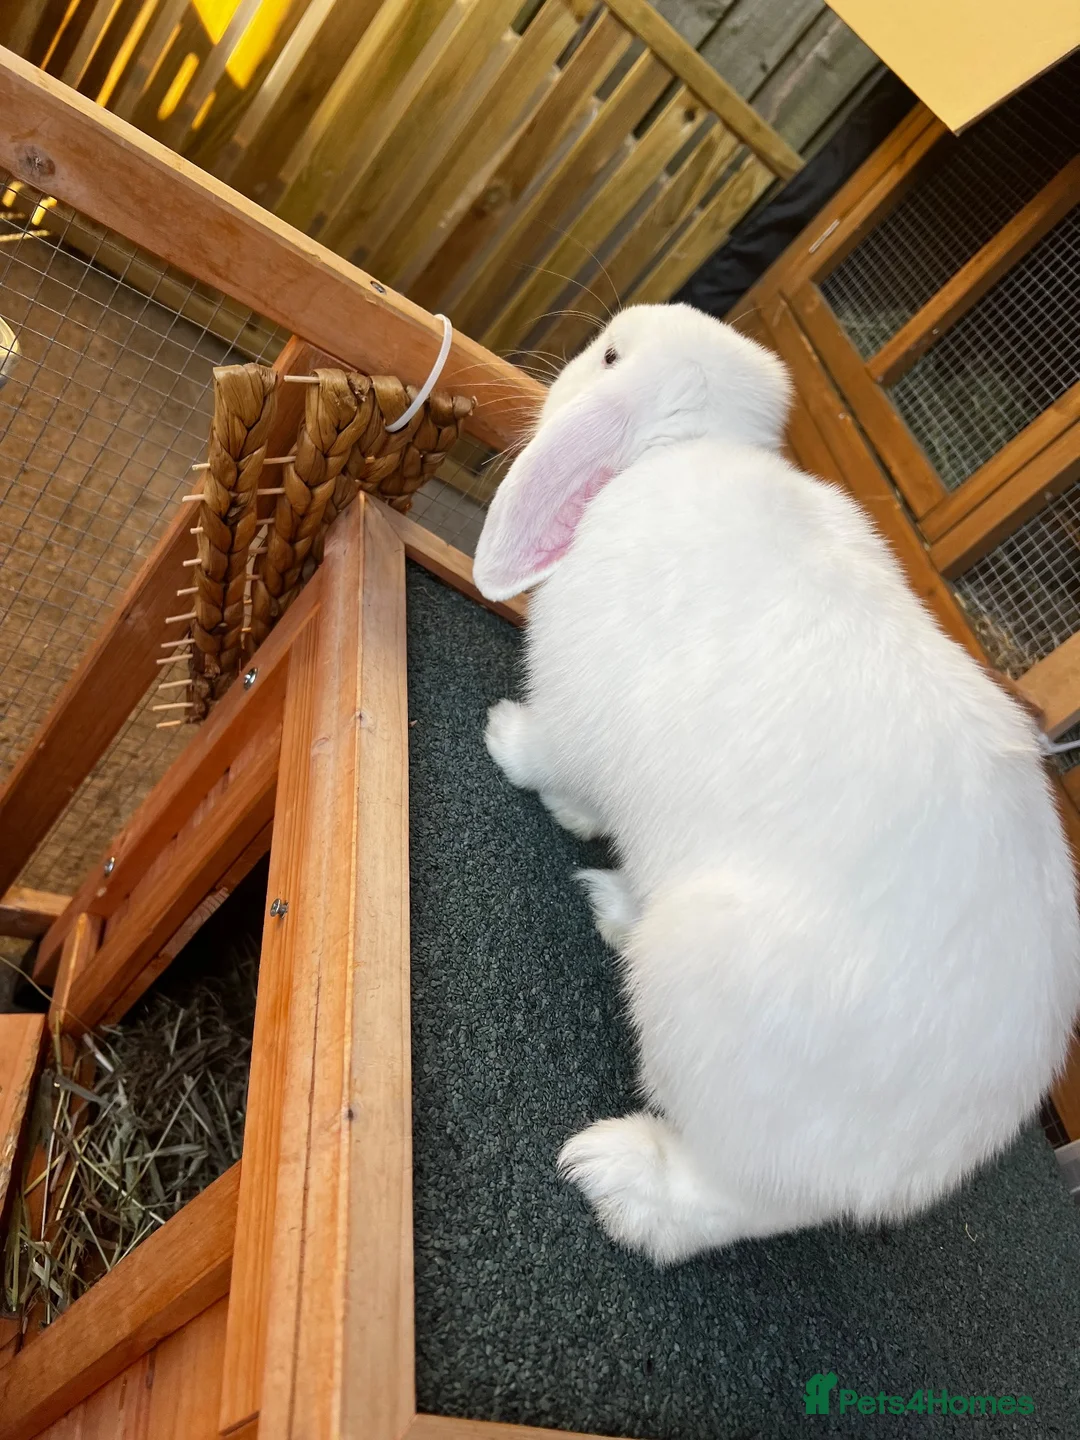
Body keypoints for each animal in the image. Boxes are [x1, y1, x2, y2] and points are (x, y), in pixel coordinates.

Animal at [470, 302, 1080, 1266]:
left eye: (610, 357)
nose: (575, 354)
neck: (684, 442)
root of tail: (944, 1149)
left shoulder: (573, 709)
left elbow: (555, 761)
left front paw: (503, 738)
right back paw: (616, 906)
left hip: (703, 1007)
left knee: (730, 1202)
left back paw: (618, 1179)